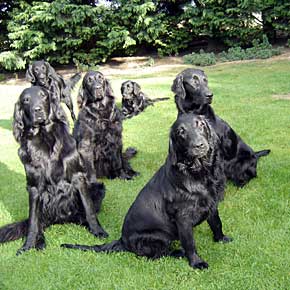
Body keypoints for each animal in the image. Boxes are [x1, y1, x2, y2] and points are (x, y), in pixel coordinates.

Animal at [0, 85, 107, 254]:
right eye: (26, 100)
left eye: (43, 95)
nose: (37, 110)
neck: (45, 137)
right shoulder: (34, 187)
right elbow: (33, 222)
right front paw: (28, 245)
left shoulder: (78, 177)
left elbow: (89, 209)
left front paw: (98, 231)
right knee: (38, 223)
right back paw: (39, 241)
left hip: (98, 187)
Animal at [61, 113, 231, 270]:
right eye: (181, 132)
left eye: (201, 125)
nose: (199, 145)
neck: (198, 172)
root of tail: (123, 240)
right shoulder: (183, 217)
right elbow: (190, 243)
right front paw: (196, 262)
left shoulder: (212, 203)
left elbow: (217, 223)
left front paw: (221, 239)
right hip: (161, 235)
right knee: (158, 254)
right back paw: (178, 252)